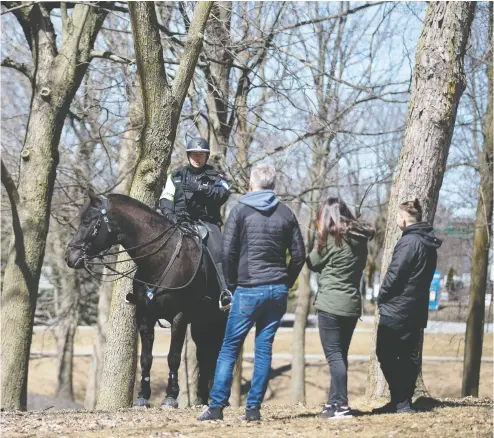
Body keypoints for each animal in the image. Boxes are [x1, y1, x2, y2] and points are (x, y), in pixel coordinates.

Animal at [64, 191, 227, 408]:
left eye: (87, 221)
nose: (70, 256)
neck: (161, 258)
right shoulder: (144, 316)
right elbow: (146, 359)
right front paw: (142, 396)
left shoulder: (179, 317)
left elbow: (173, 357)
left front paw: (170, 397)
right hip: (201, 323)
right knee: (204, 355)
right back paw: (202, 399)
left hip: (217, 320)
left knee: (216, 353)